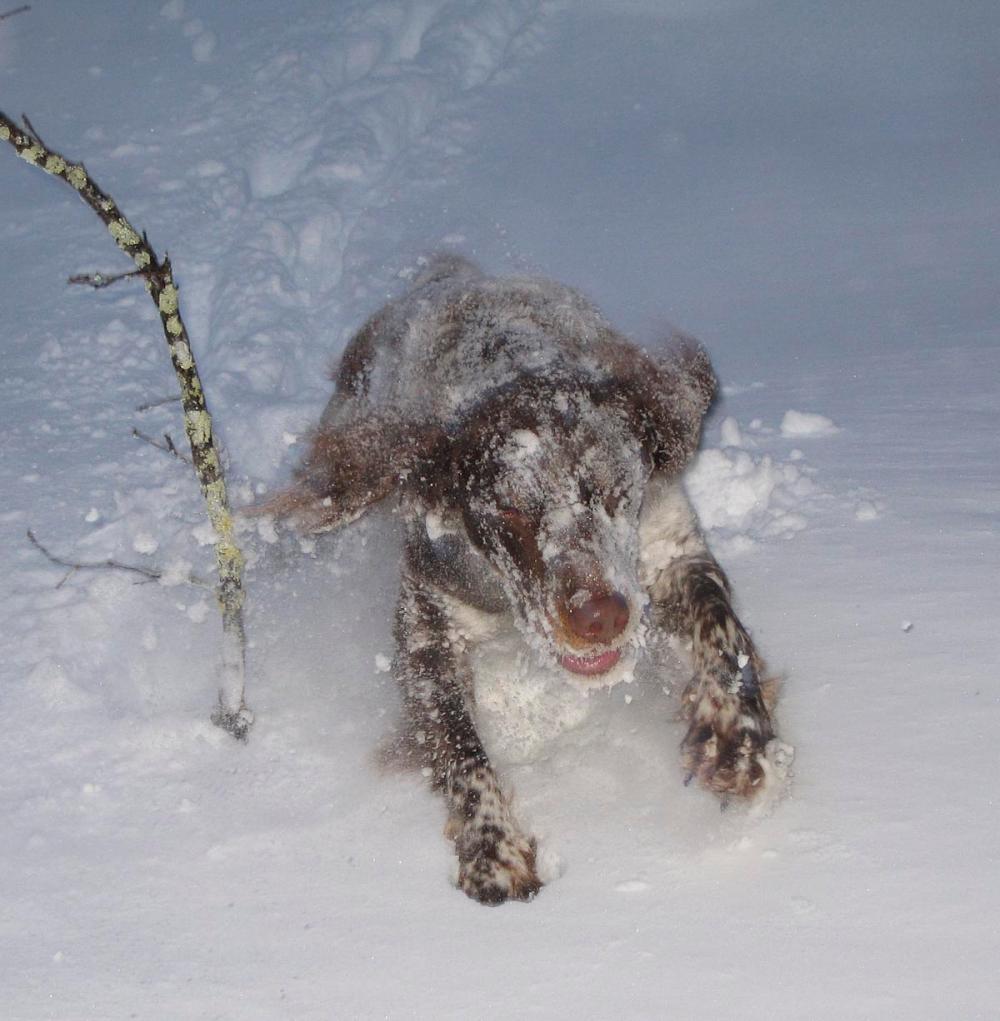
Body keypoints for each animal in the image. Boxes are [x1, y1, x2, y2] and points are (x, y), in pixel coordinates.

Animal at [263, 259, 788, 906]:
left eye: (617, 491)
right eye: (510, 511)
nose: (599, 616)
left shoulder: (670, 549)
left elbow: (722, 627)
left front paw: (736, 739)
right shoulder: (427, 616)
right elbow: (459, 744)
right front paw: (493, 849)